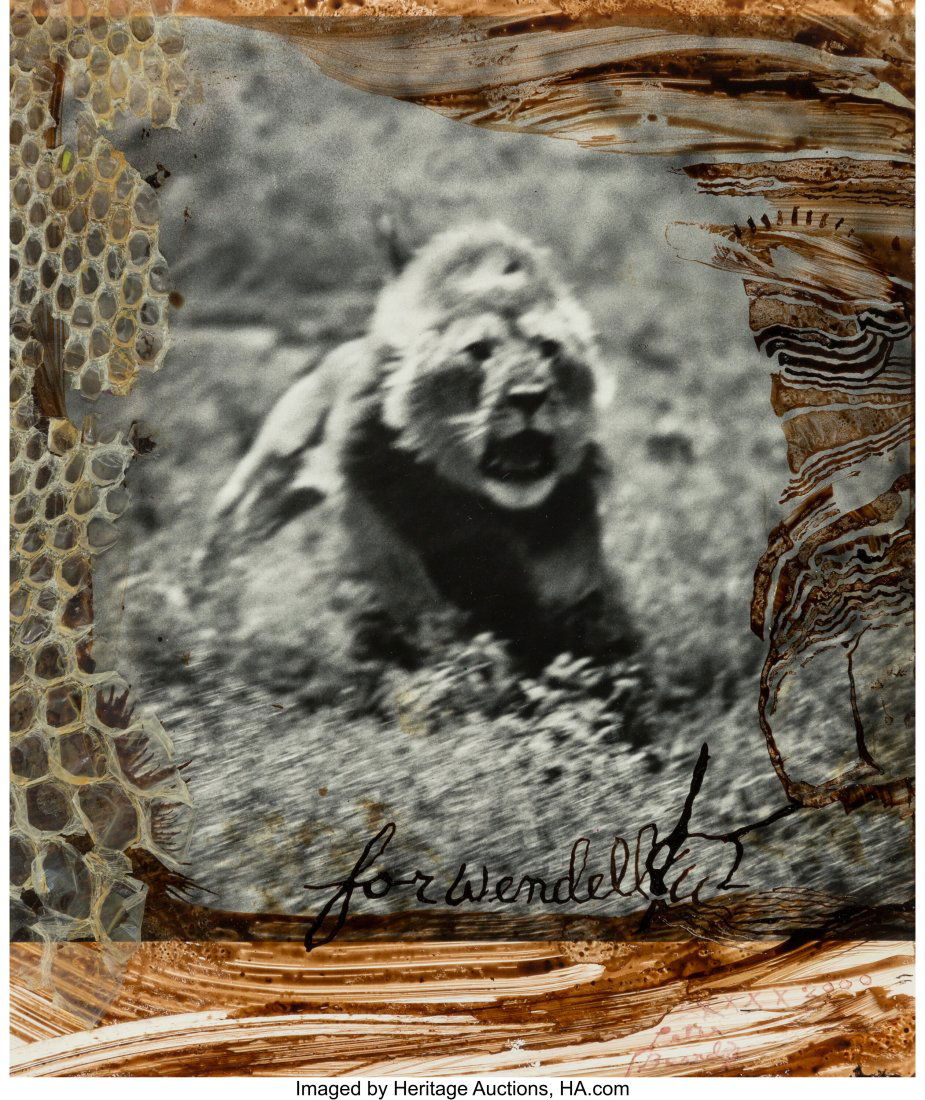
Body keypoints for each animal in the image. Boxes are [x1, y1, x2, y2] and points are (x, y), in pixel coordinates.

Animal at [202, 223, 640, 697]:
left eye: (548, 348)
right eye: (478, 350)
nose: (529, 396)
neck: (480, 503)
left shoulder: (565, 534)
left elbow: (573, 606)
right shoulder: (377, 519)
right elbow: (420, 605)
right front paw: (463, 668)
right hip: (266, 482)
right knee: (229, 541)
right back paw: (206, 611)